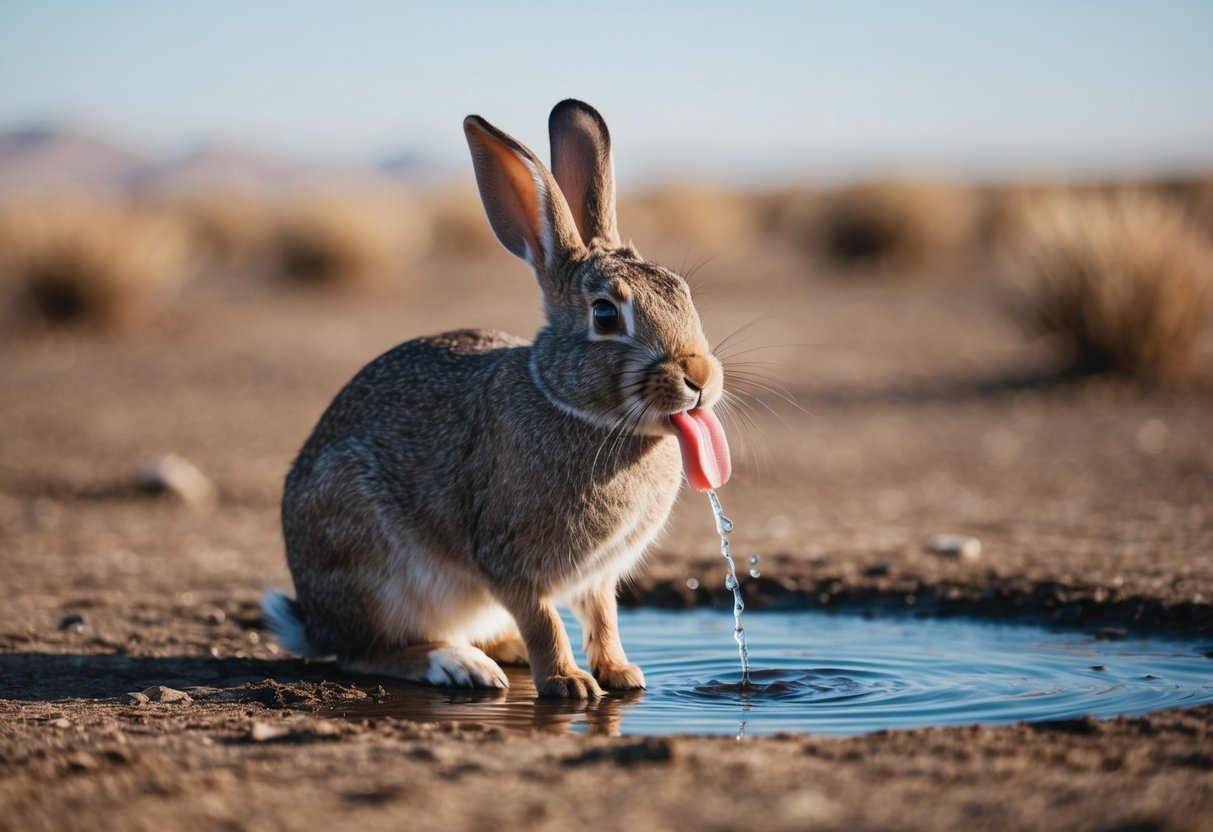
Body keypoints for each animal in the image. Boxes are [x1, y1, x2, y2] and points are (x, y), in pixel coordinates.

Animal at [263, 99, 731, 699]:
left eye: (682, 292)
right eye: (605, 315)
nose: (701, 376)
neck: (571, 406)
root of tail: (314, 621)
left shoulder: (598, 576)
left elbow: (603, 618)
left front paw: (622, 675)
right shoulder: (509, 561)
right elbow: (544, 620)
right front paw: (569, 684)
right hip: (370, 566)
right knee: (364, 653)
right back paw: (459, 665)